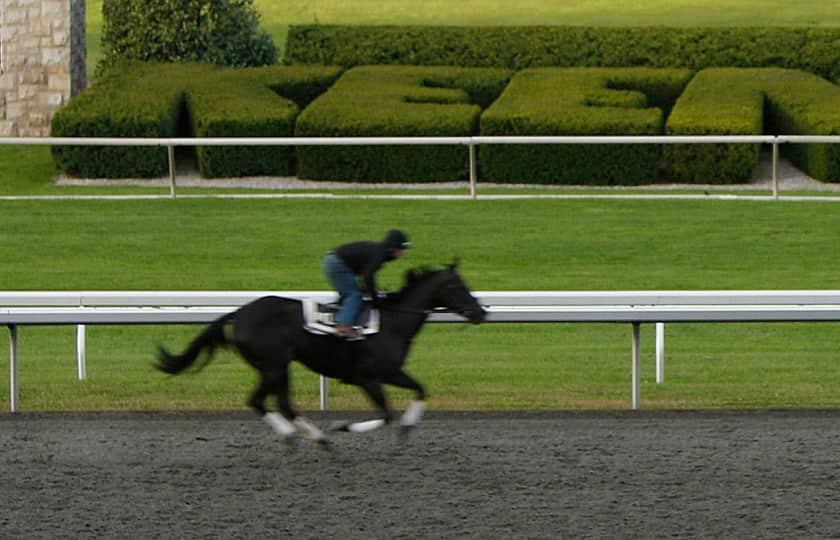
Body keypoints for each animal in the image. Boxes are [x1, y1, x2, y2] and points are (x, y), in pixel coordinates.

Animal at [157, 264, 486, 446]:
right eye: (457, 285)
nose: (481, 312)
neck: (392, 322)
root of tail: (239, 313)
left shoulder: (390, 373)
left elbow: (420, 390)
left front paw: (407, 427)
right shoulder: (369, 377)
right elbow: (386, 413)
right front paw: (343, 426)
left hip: (276, 367)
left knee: (278, 403)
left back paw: (309, 437)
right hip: (274, 365)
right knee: (261, 401)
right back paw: (312, 437)